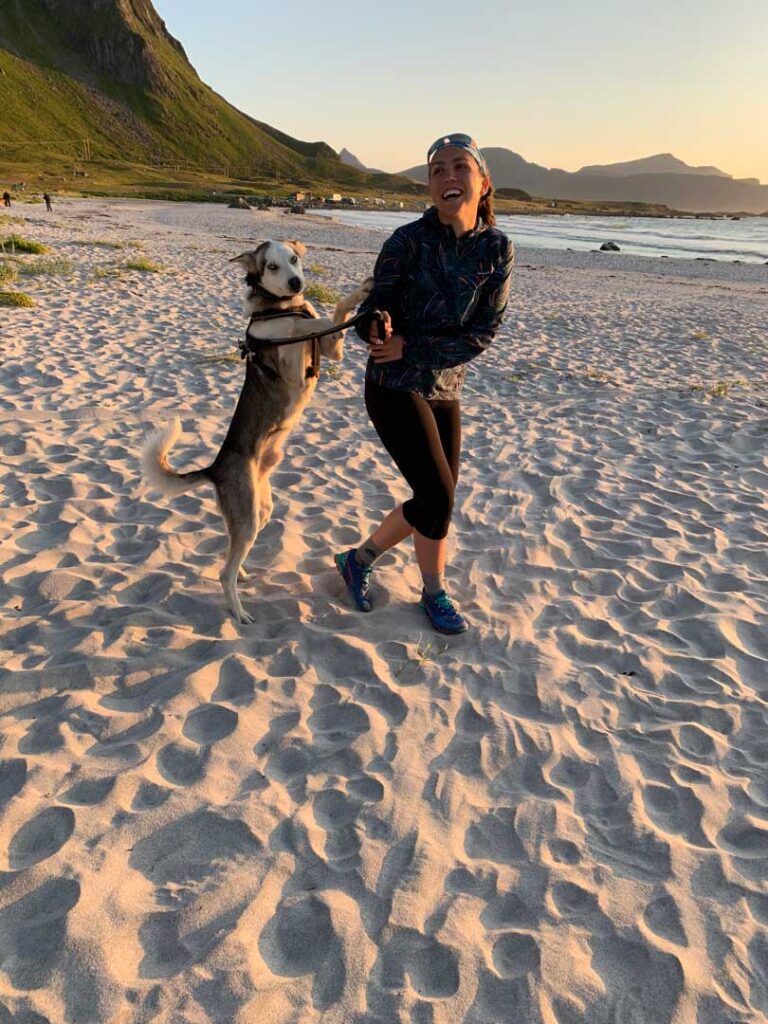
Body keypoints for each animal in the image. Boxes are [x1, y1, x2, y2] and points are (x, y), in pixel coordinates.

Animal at [145, 240, 376, 622]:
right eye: (271, 267)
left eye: (294, 260)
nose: (296, 283)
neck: (280, 308)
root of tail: (215, 469)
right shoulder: (295, 366)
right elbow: (314, 324)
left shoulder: (331, 351)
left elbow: (333, 317)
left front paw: (359, 293)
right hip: (248, 515)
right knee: (223, 573)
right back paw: (238, 611)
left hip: (259, 511)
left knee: (230, 553)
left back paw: (242, 572)